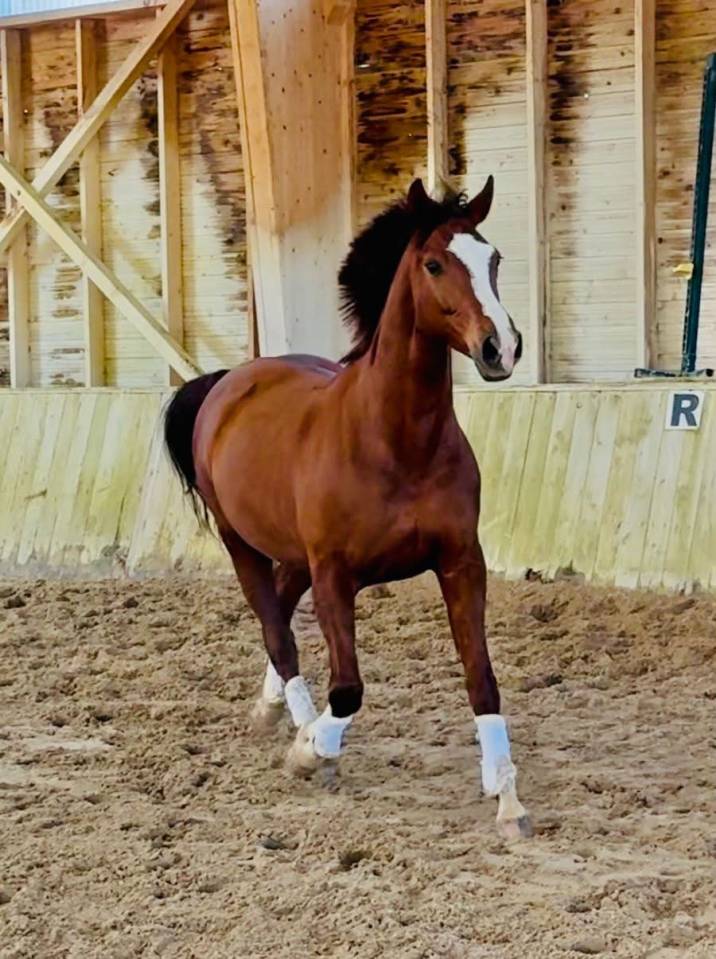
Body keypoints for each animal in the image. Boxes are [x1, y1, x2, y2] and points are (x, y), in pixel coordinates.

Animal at [164, 177, 531, 839]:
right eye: (434, 264)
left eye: (493, 260)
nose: (501, 349)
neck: (396, 443)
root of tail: (229, 380)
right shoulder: (336, 574)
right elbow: (348, 689)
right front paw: (310, 752)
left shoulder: (462, 563)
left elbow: (481, 679)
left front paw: (507, 798)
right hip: (241, 542)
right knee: (277, 631)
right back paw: (298, 726)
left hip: (291, 553)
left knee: (281, 612)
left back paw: (271, 708)